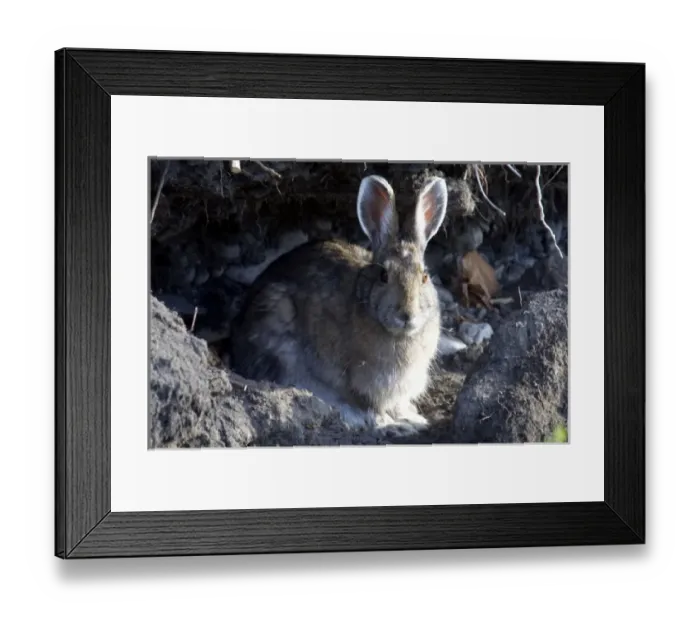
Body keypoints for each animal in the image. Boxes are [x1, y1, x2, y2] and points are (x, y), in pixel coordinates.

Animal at [230, 174, 448, 430]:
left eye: (424, 277)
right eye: (384, 276)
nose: (407, 315)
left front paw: (413, 418)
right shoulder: (361, 381)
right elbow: (370, 404)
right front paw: (390, 423)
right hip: (279, 338)